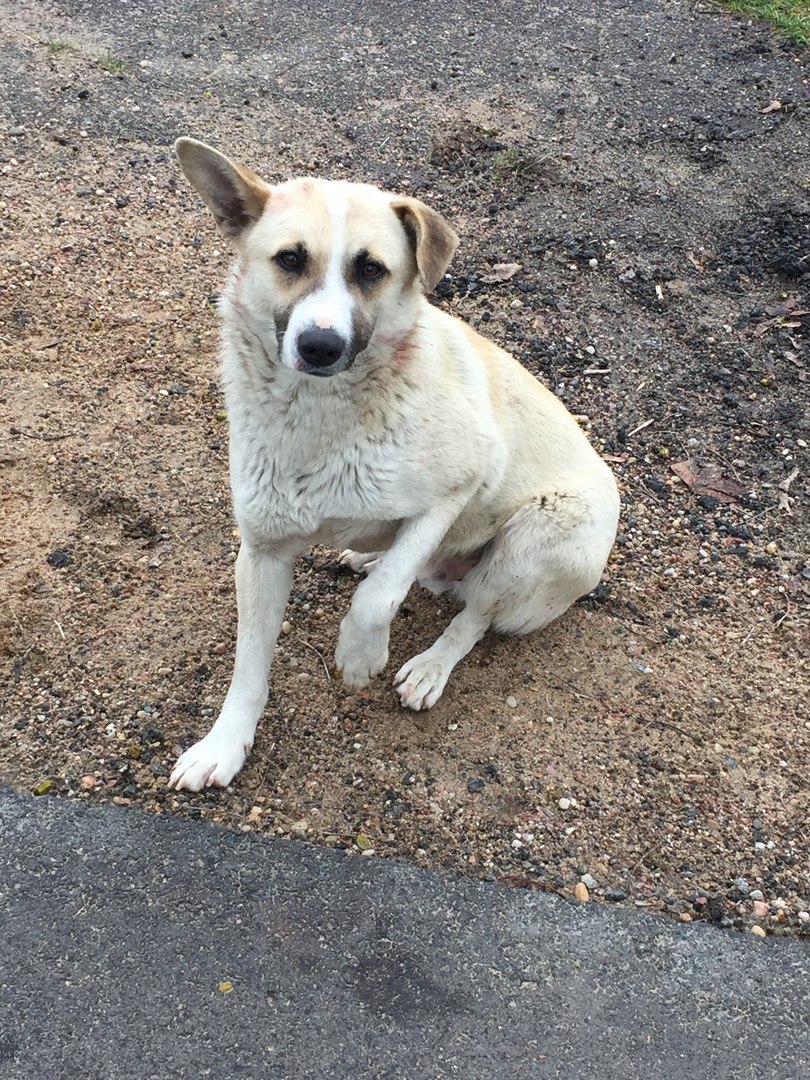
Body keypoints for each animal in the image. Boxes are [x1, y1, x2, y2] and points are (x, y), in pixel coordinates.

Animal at [166, 139, 622, 790]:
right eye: (289, 259)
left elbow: (378, 600)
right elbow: (249, 668)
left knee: (473, 614)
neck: (321, 417)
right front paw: (224, 745)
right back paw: (366, 555)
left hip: (536, 539)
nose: (320, 346)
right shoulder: (261, 553)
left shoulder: (457, 489)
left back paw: (430, 665)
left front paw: (360, 658)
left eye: (371, 270)